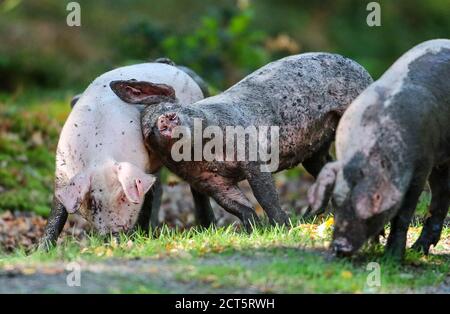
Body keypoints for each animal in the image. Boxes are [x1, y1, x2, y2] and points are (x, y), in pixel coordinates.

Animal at [39, 60, 207, 248]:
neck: (100, 156)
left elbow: (146, 202)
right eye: (93, 203)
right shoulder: (62, 173)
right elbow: (56, 214)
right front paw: (40, 250)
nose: (113, 236)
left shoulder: (143, 167)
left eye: (122, 196)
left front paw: (140, 237)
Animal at [308, 38, 450, 260]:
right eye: (337, 201)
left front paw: (393, 258)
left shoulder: (421, 167)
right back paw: (418, 250)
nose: (340, 246)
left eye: (375, 202)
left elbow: (402, 215)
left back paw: (416, 250)